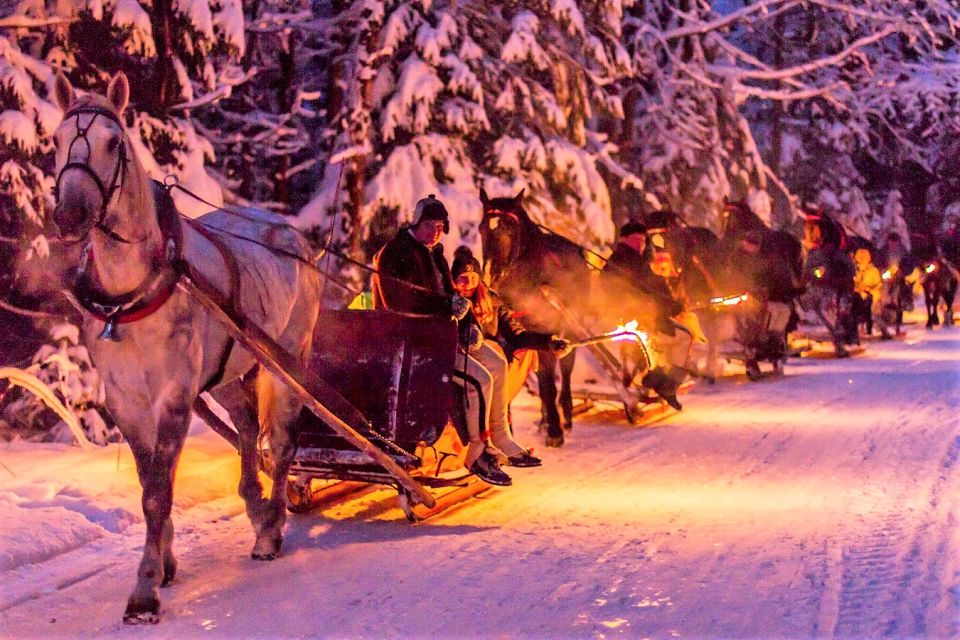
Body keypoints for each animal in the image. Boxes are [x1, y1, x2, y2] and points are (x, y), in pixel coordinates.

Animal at [50, 72, 320, 624]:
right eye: (56, 140)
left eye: (114, 142)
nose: (69, 215)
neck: (131, 294)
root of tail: (292, 234)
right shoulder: (126, 401)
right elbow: (149, 482)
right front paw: (165, 561)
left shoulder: (174, 393)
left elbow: (158, 492)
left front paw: (144, 590)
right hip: (229, 371)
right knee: (247, 430)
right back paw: (256, 507)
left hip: (286, 360)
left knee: (282, 442)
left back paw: (272, 528)